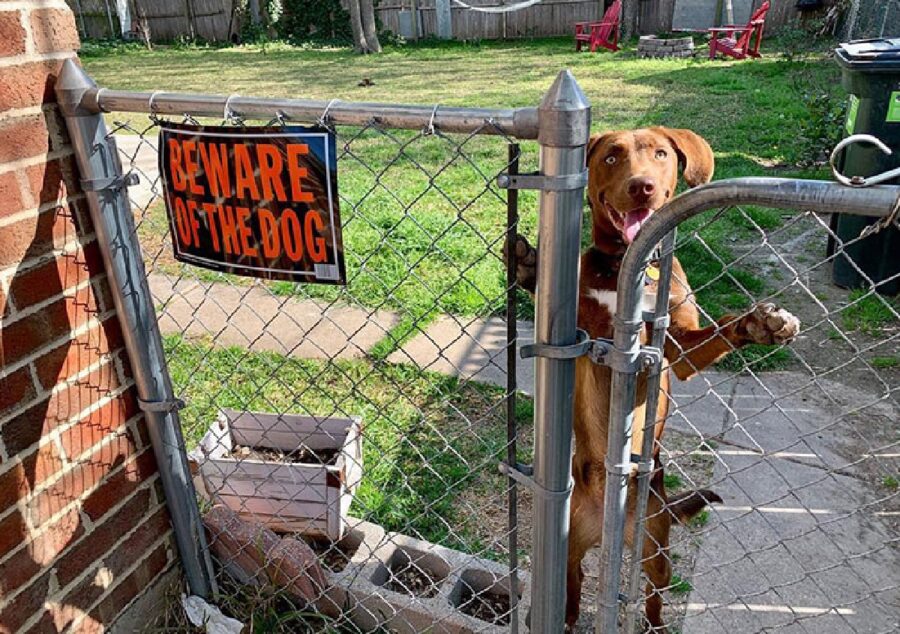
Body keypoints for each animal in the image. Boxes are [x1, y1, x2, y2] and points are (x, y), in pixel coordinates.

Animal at [510, 127, 800, 628]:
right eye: (611, 157)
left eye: (661, 154)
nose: (641, 186)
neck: (627, 266)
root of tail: (613, 530)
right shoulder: (583, 326)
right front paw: (528, 264)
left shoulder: (677, 350)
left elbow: (717, 331)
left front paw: (759, 325)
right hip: (569, 550)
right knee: (572, 592)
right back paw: (561, 617)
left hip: (657, 549)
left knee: (653, 593)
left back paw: (654, 623)